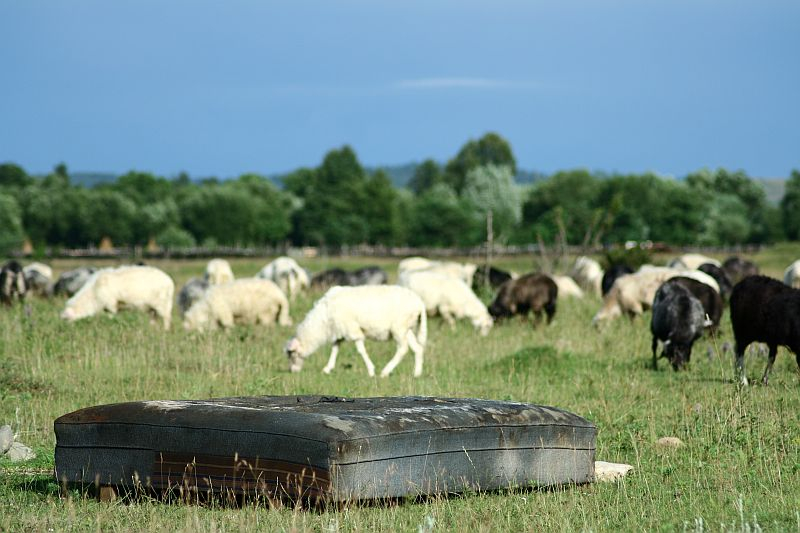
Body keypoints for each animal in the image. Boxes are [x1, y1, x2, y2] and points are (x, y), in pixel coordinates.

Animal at [285, 285, 427, 377]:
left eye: (292, 354)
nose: (292, 371)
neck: (323, 320)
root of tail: (419, 302)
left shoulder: (352, 329)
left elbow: (360, 351)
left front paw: (371, 371)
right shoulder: (340, 330)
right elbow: (335, 348)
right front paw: (327, 369)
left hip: (399, 327)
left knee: (403, 349)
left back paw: (385, 372)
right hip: (407, 329)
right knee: (418, 348)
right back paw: (417, 373)